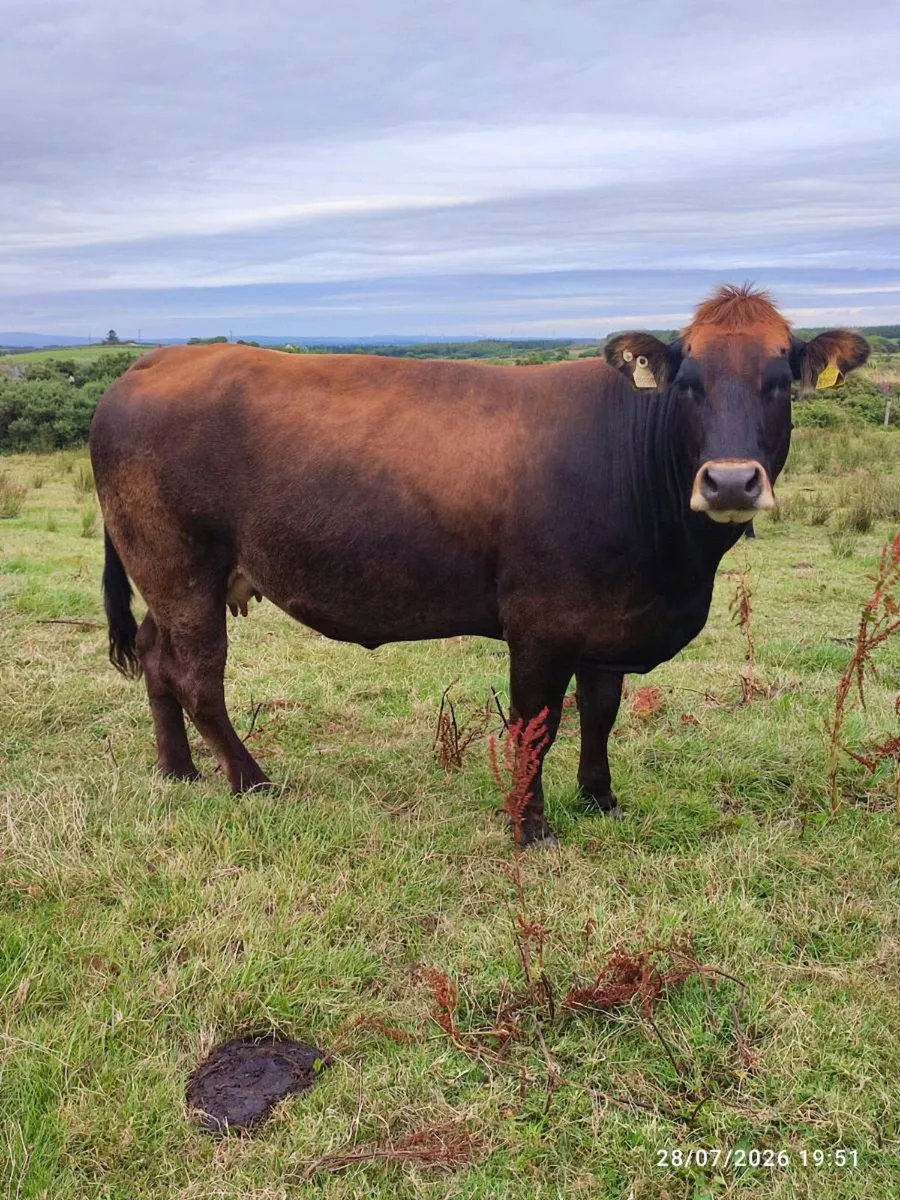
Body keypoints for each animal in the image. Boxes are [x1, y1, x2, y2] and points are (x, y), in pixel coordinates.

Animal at [90, 285, 869, 845]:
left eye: (780, 380)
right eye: (688, 382)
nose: (731, 482)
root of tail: (153, 362)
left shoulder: (608, 619)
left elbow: (601, 711)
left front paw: (600, 797)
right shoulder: (541, 625)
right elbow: (535, 725)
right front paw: (529, 827)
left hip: (171, 578)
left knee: (157, 659)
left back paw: (178, 771)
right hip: (180, 567)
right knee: (197, 678)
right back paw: (251, 780)